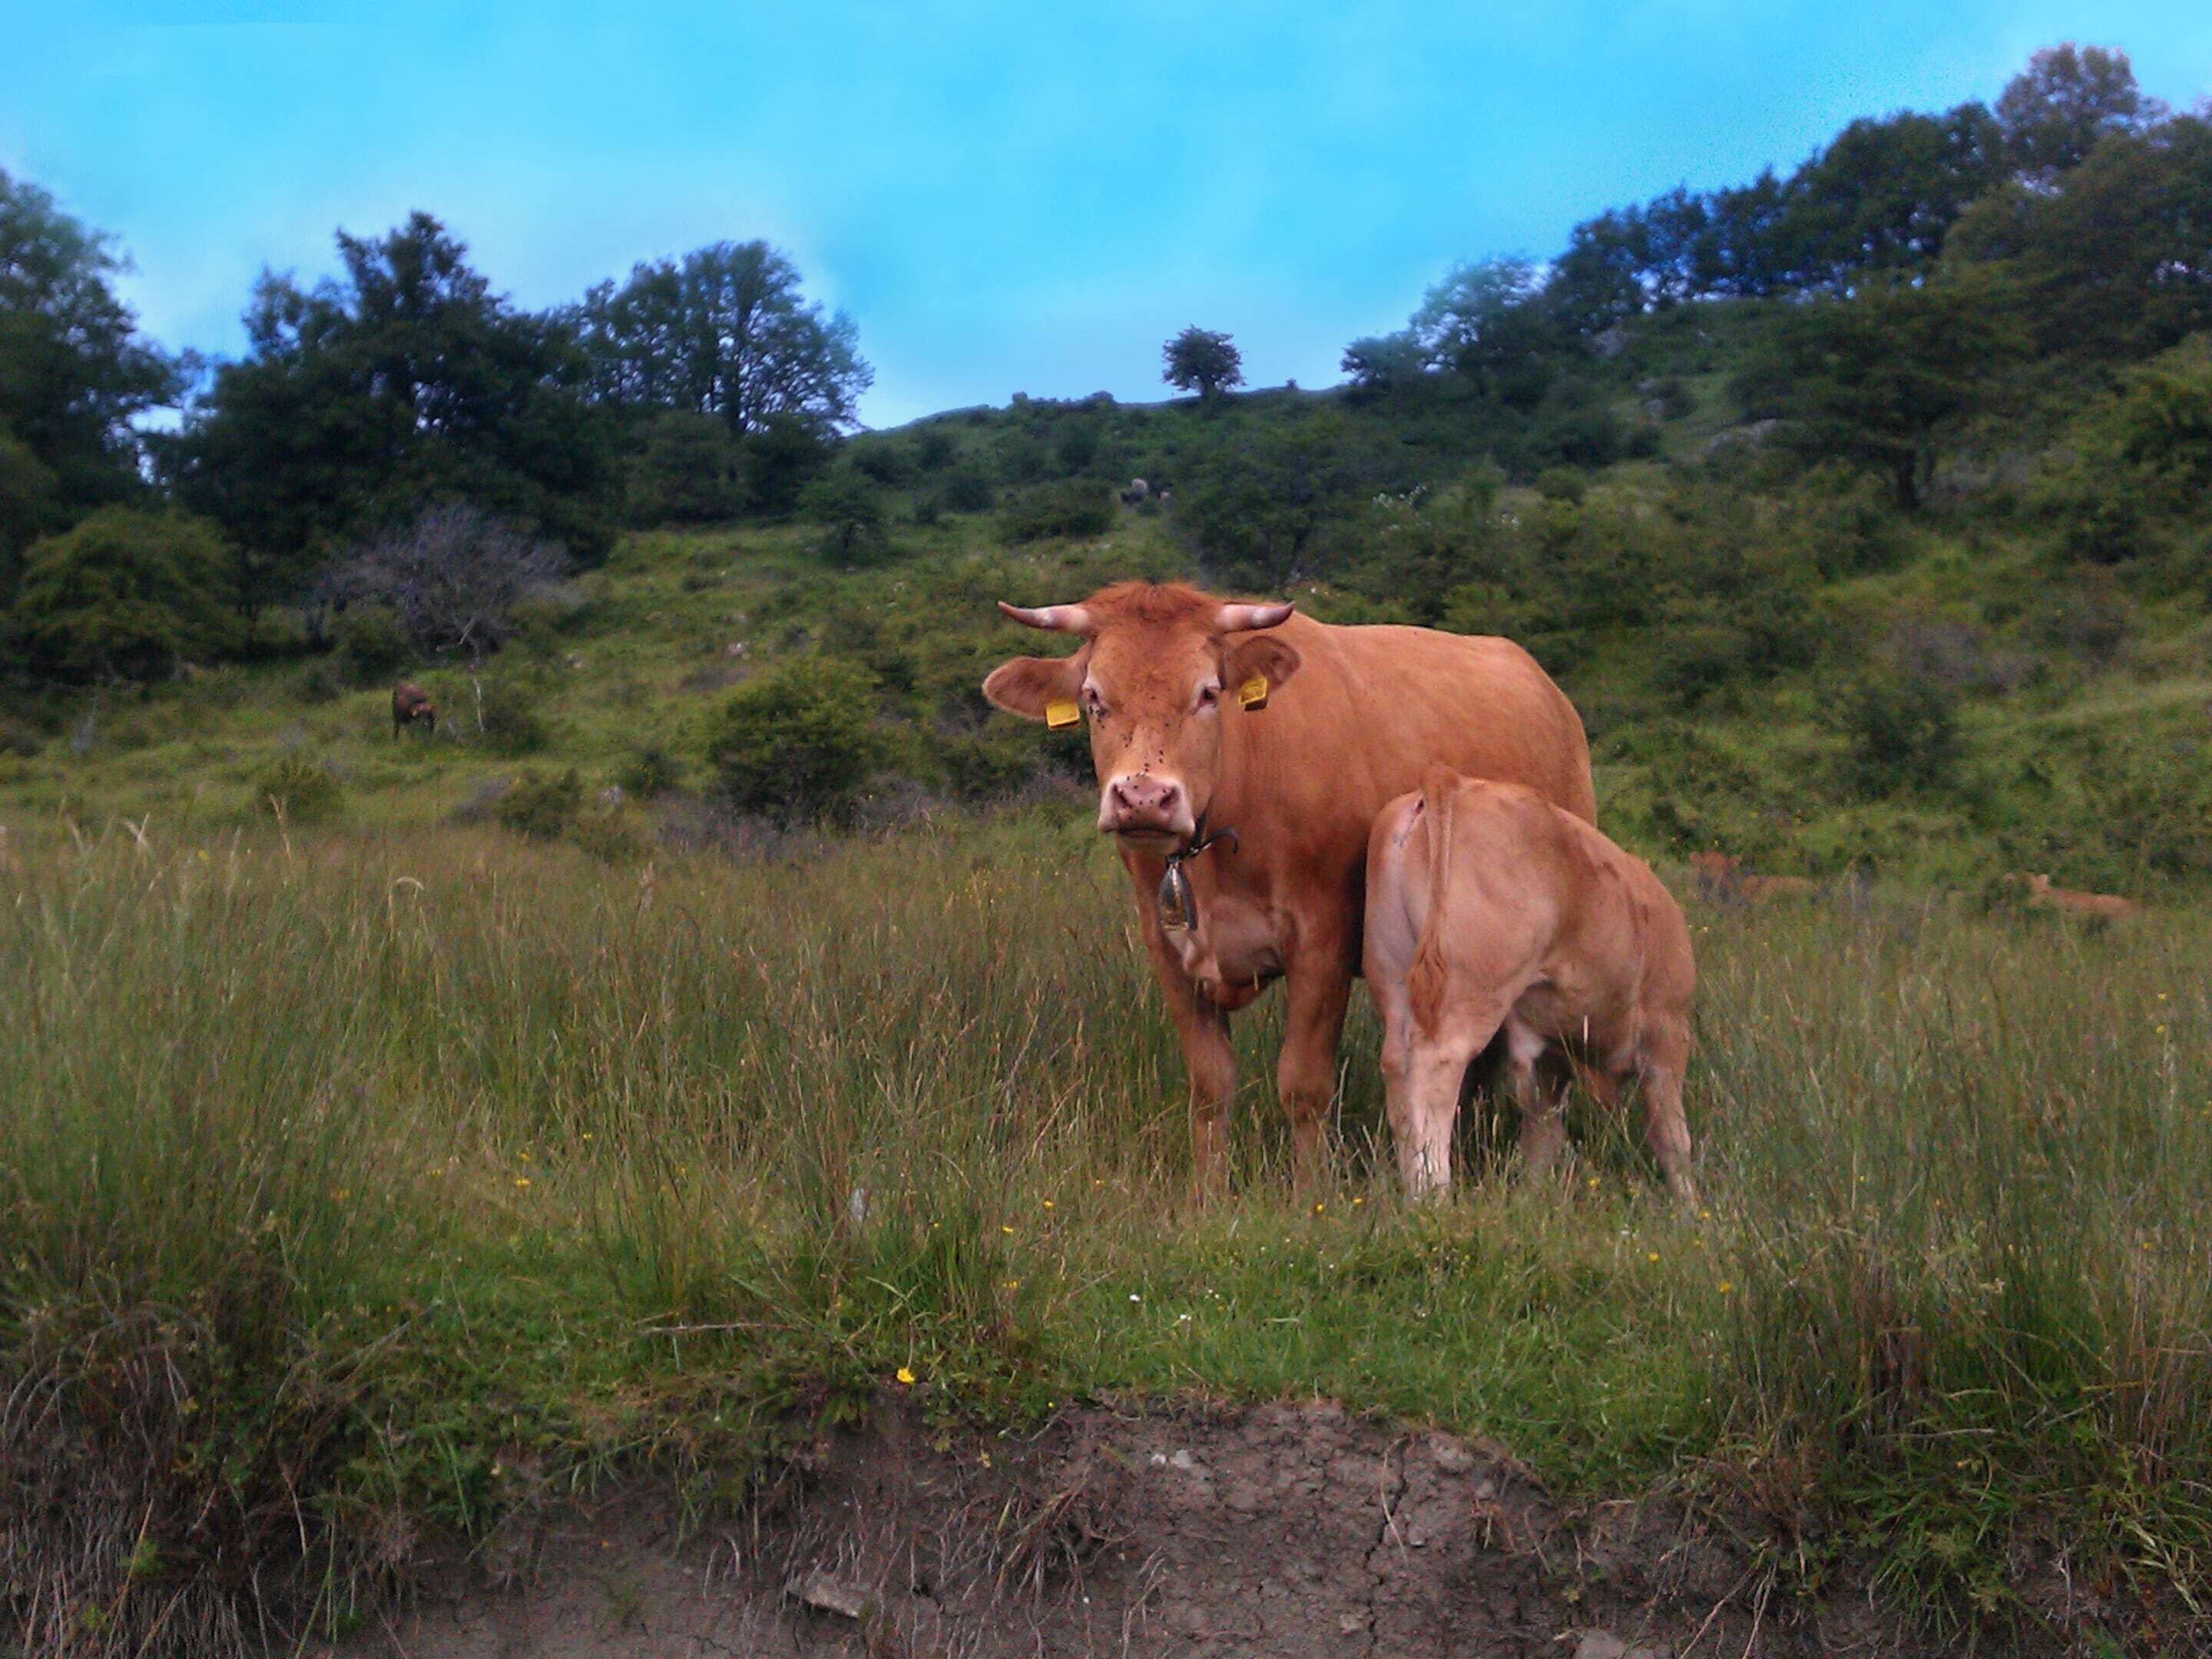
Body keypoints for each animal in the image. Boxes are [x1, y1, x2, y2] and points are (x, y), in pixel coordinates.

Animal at [983, 581, 1596, 1196]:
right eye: (1094, 697)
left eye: (1208, 693)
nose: (1144, 798)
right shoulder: (1168, 949)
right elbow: (1210, 1085)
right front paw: (1208, 1197)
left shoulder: (1322, 944)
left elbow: (1304, 1084)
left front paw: (1310, 1195)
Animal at [1365, 769, 1696, 1203]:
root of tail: (1452, 782)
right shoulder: (1667, 1034)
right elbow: (1673, 1139)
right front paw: (1690, 1209)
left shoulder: (1550, 1059)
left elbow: (1542, 1136)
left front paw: (1532, 1198)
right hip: (1471, 993)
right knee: (1436, 1069)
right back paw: (1434, 1195)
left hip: (1394, 977)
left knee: (1398, 1067)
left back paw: (1411, 1192)